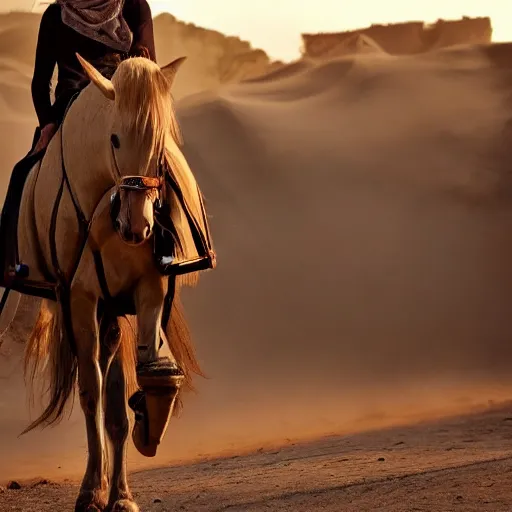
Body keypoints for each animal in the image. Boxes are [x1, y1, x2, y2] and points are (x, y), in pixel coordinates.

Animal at [12, 54, 214, 510]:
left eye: (159, 144)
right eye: (115, 139)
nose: (138, 227)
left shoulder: (149, 289)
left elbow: (150, 378)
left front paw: (126, 480)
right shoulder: (80, 299)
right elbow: (92, 394)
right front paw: (91, 490)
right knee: (99, 384)